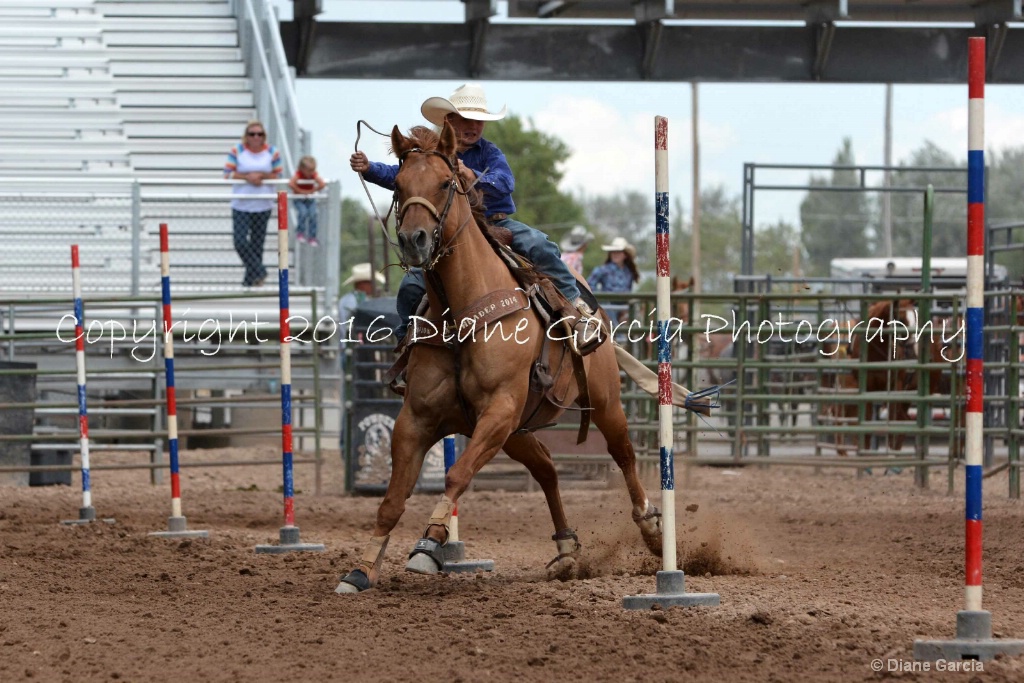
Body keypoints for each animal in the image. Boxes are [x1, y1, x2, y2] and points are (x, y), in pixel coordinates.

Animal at [335, 125, 704, 593]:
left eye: (446, 183)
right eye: (398, 186)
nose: (413, 241)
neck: (461, 312)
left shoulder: (499, 410)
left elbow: (456, 475)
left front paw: (429, 544)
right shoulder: (418, 420)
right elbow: (391, 499)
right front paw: (361, 571)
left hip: (602, 403)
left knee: (623, 454)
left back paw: (654, 531)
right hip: (517, 431)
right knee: (547, 469)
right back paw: (566, 549)